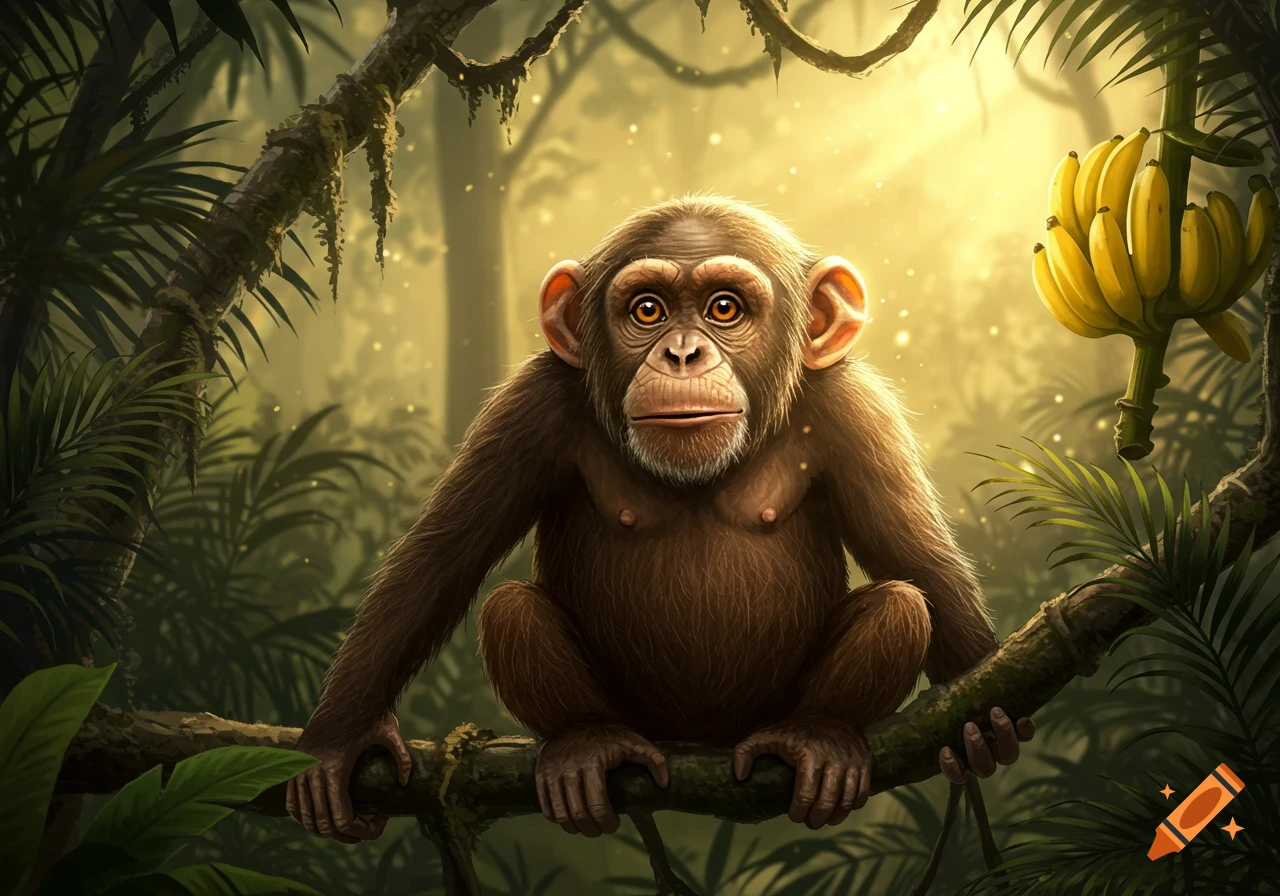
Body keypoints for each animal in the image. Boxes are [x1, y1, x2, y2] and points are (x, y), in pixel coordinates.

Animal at [286, 195, 1034, 842]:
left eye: (725, 308)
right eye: (647, 310)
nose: (682, 352)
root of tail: (702, 741)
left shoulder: (855, 411)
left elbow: (912, 552)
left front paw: (979, 719)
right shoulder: (530, 407)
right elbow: (441, 557)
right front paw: (338, 741)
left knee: (900, 606)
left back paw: (818, 737)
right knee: (509, 610)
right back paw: (585, 747)